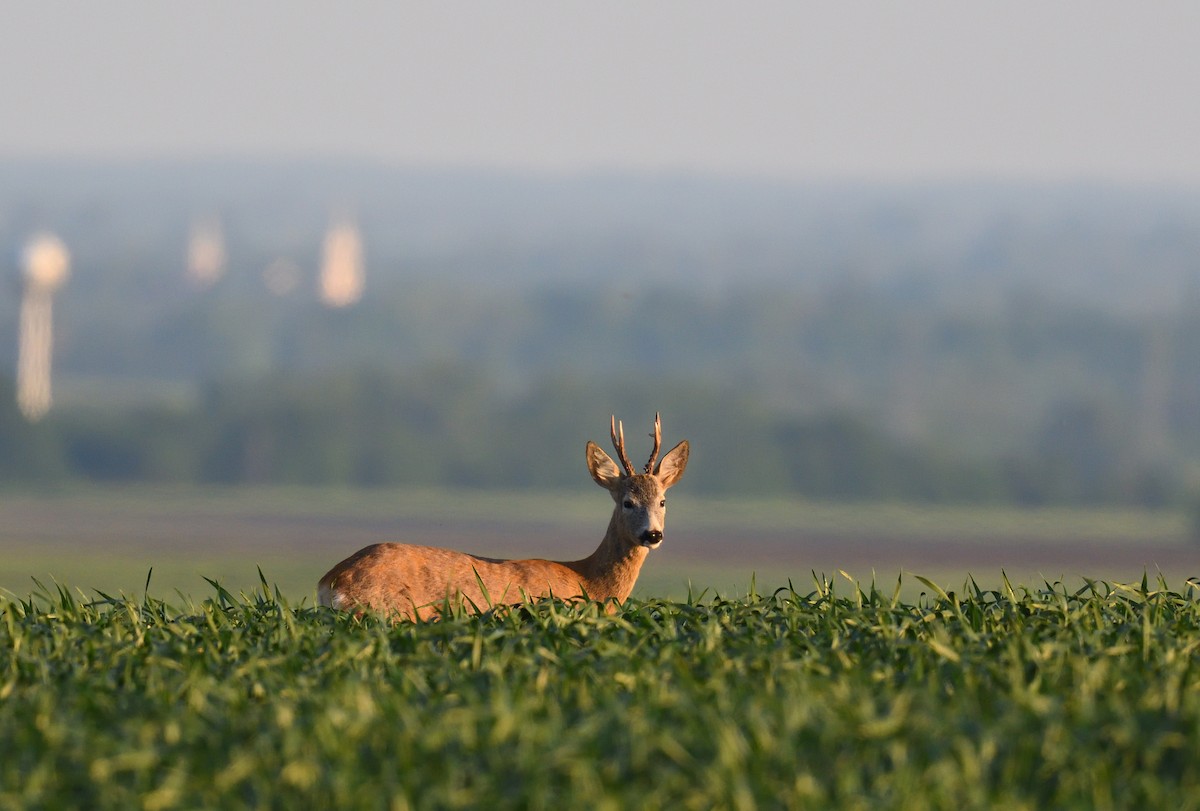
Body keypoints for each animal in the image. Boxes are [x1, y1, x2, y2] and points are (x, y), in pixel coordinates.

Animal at [317, 414, 689, 620]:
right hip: (391, 613)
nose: (652, 535)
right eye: (627, 502)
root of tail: (332, 582)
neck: (587, 581)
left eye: (663, 501)